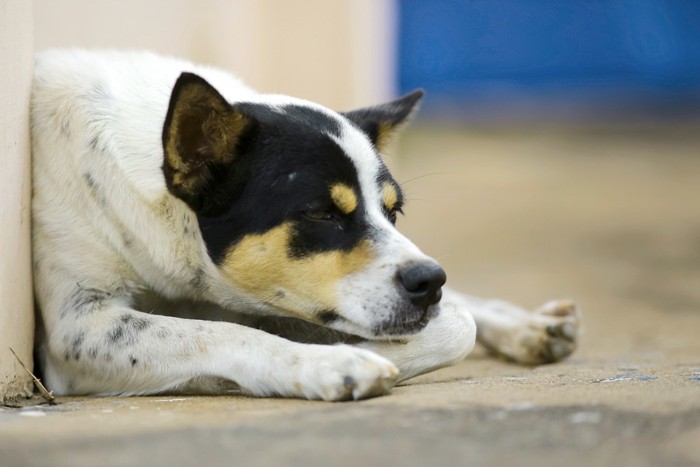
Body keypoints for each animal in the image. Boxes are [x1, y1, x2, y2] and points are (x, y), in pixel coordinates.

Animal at [31, 50, 580, 402]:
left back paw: (530, 325)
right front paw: (333, 361)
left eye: (393, 211)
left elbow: (459, 322)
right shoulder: (78, 328)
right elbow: (225, 334)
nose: (429, 281)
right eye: (321, 214)